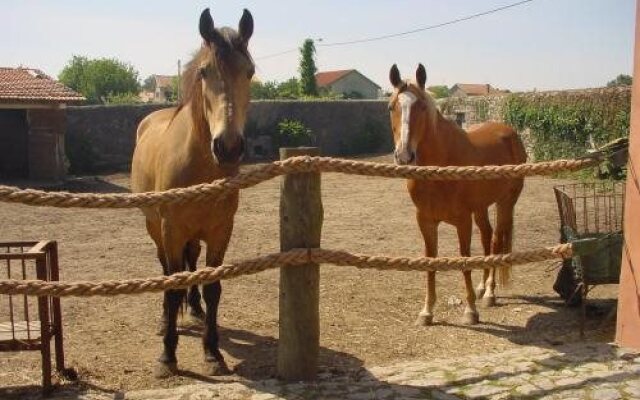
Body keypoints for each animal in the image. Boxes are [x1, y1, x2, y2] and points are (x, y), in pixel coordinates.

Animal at [131, 9, 255, 378]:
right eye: (204, 71)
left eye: (250, 71)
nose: (228, 147)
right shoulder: (171, 230)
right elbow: (172, 286)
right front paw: (167, 355)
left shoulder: (220, 231)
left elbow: (213, 286)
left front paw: (212, 352)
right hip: (155, 228)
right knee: (165, 271)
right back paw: (165, 320)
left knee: (192, 263)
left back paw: (196, 310)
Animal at [388, 64, 528, 326]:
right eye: (391, 107)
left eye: (422, 107)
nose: (404, 155)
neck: (441, 168)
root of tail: (510, 133)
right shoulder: (425, 221)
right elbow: (430, 263)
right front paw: (426, 312)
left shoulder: (462, 221)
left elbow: (464, 262)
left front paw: (470, 311)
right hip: (481, 208)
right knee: (487, 237)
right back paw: (482, 288)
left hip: (506, 202)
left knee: (496, 241)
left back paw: (490, 293)